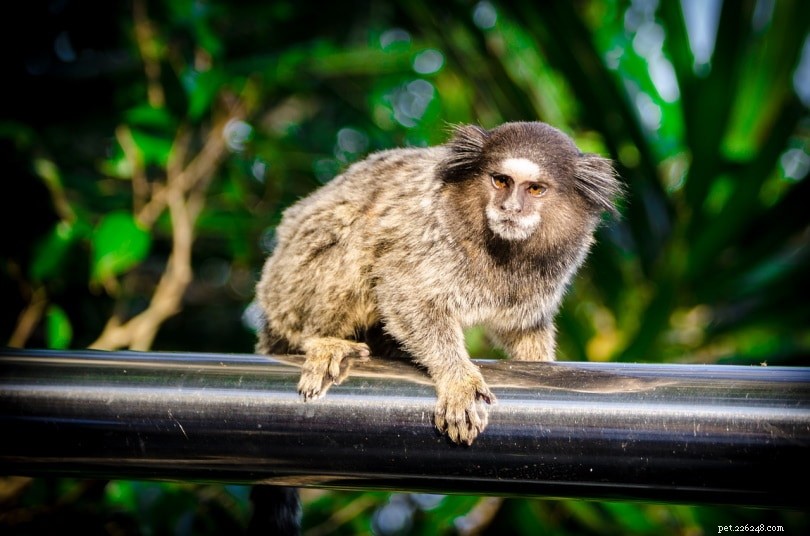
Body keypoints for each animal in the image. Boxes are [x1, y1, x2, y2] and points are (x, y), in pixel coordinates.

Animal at [255, 121, 623, 446]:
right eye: (501, 181)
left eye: (535, 189)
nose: (510, 208)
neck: (504, 250)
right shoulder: (428, 231)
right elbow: (407, 295)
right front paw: (458, 380)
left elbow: (521, 328)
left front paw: (536, 361)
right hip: (288, 289)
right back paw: (323, 340)